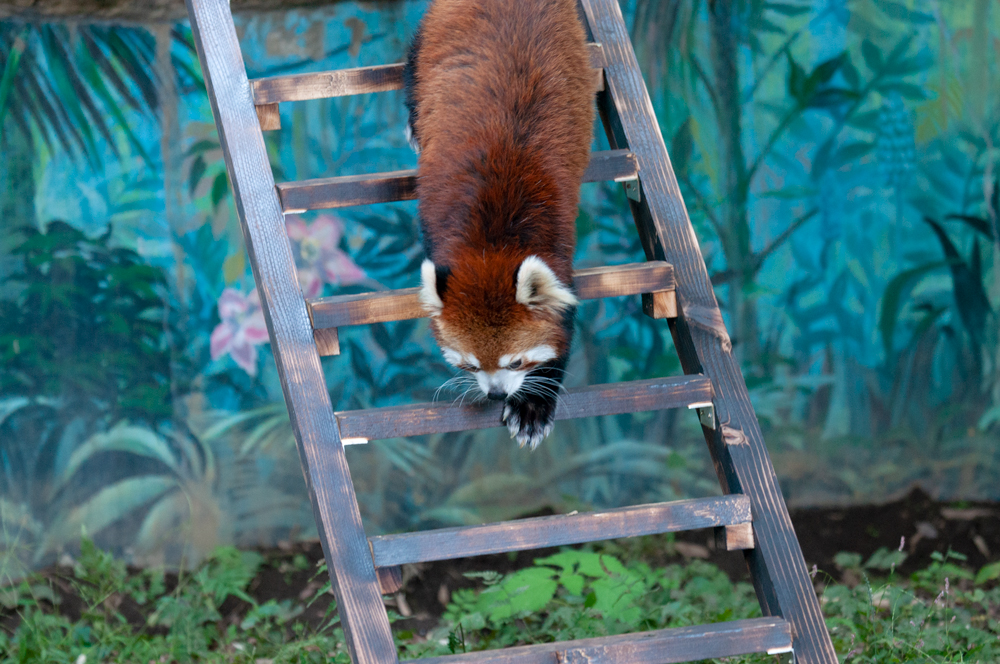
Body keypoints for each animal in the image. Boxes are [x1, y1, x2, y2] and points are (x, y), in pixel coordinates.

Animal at [404, 0, 592, 448]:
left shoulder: (558, 253)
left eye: (517, 361)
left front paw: (533, 407)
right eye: (471, 365)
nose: (495, 394)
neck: (492, 245)